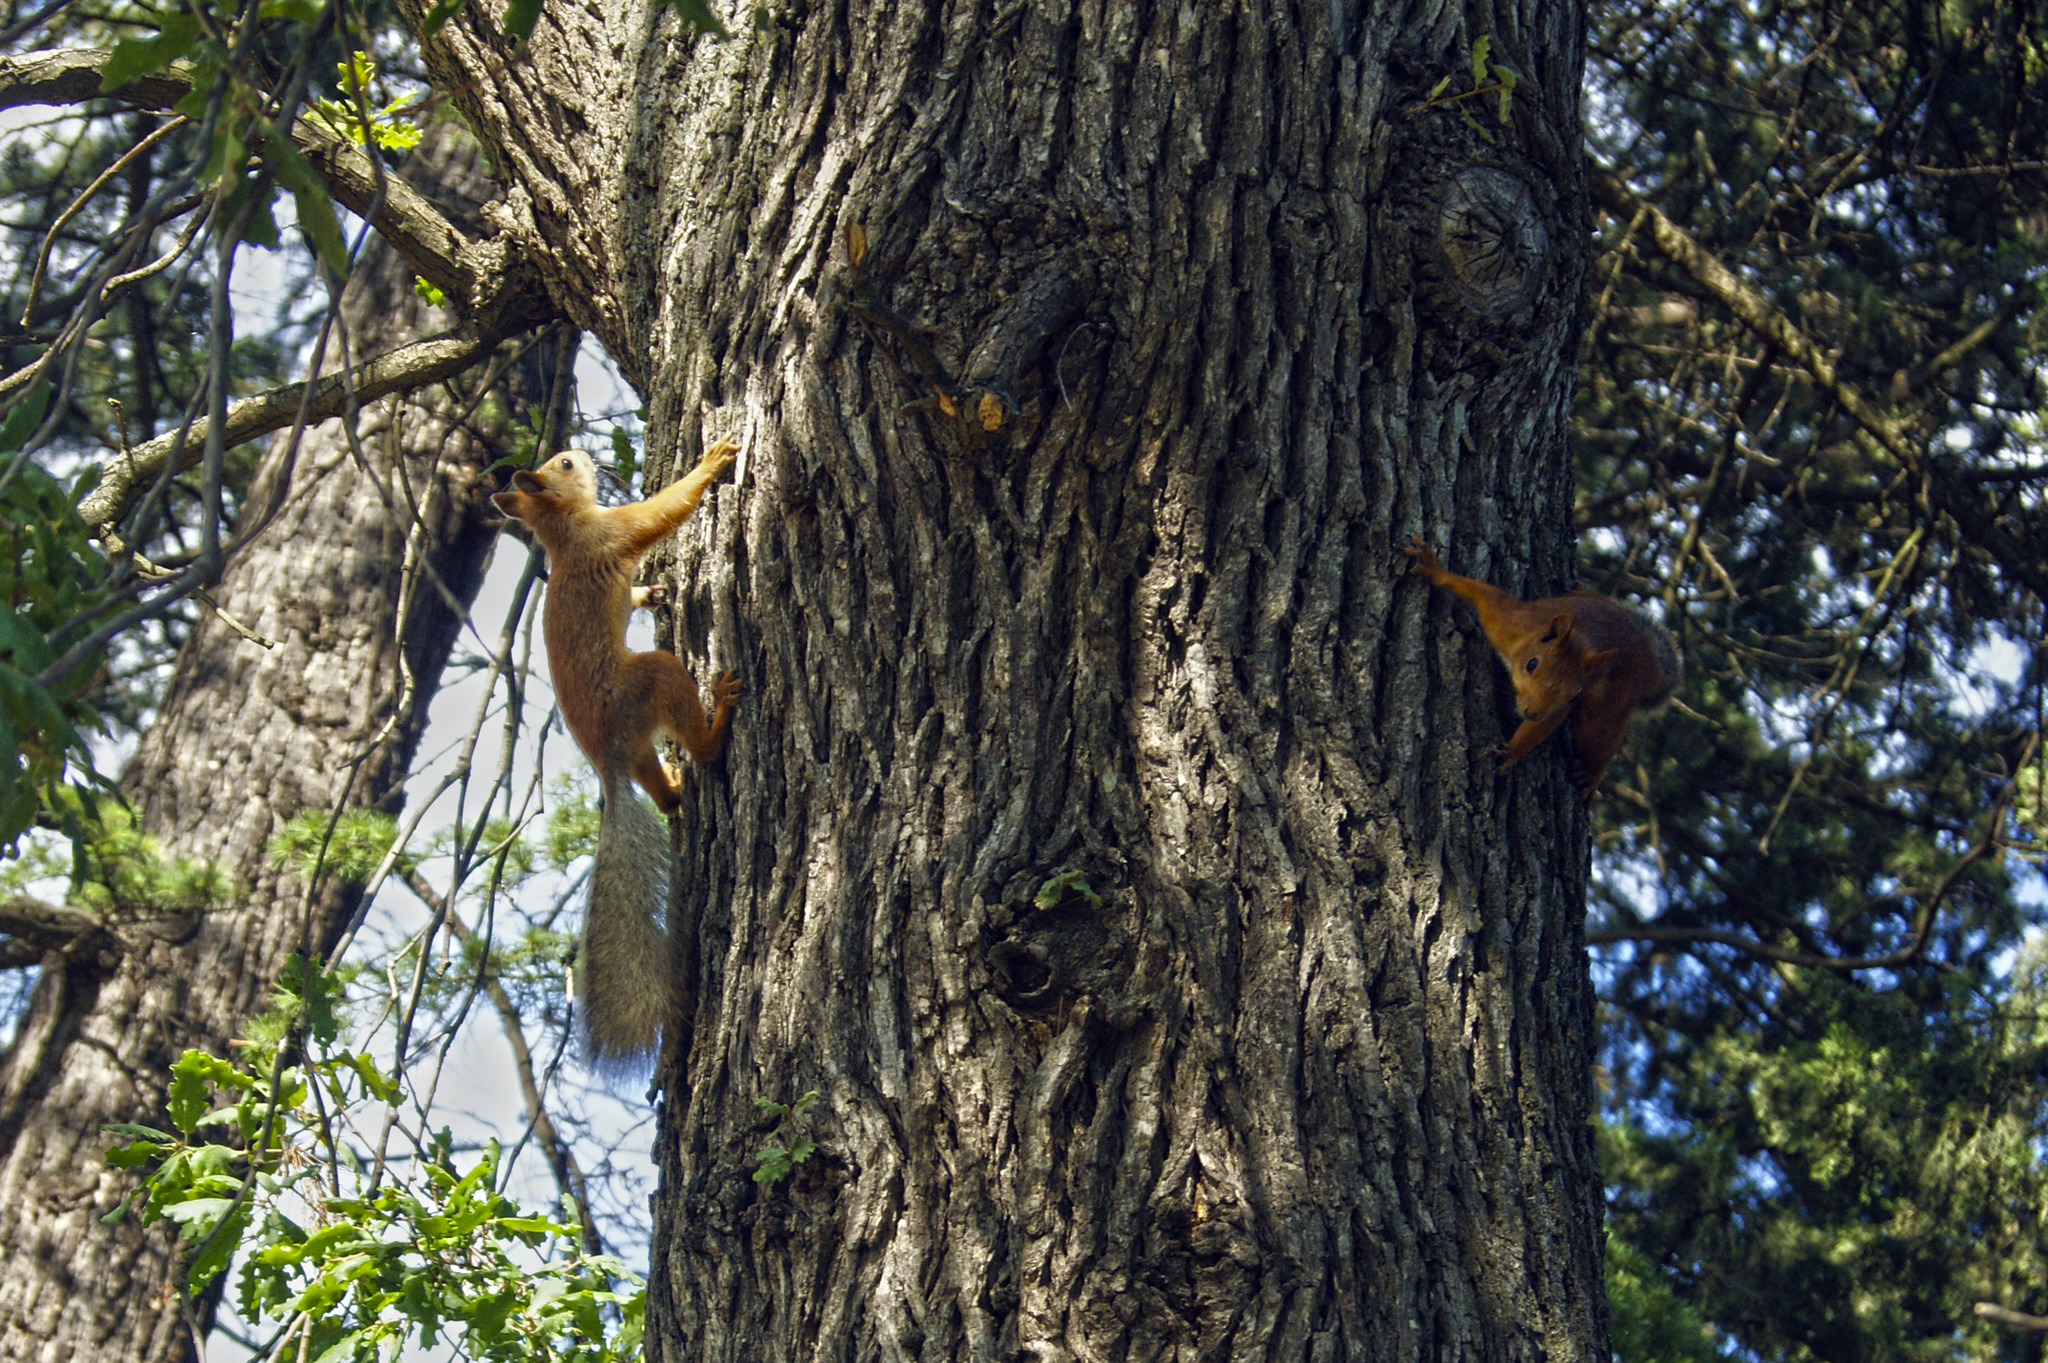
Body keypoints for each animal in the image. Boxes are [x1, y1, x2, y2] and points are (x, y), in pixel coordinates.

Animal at [487, 437, 745, 1064]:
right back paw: (716, 725)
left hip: (638, 743)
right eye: (564, 466)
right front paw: (711, 463)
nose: (577, 450)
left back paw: (673, 786)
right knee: (697, 742)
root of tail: (606, 763)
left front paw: (649, 591)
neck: (564, 529)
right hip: (650, 680)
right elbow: (662, 512)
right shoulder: (613, 532)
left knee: (661, 788)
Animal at [1409, 532, 1679, 798]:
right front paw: (1434, 568)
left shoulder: (1559, 705)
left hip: (1609, 699)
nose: (1532, 712)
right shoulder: (1510, 622)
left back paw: (1592, 775)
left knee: (1604, 737)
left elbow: (1543, 726)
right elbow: (1482, 594)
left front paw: (1511, 753)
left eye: (1574, 696)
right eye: (1531, 664)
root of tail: (1652, 664)